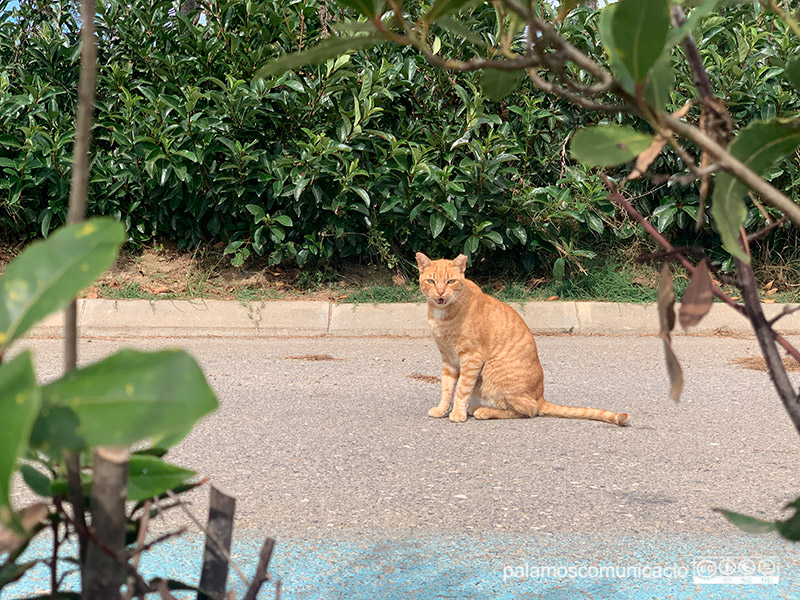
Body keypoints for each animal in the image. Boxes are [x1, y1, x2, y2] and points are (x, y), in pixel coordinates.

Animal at [416, 253, 628, 426]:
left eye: (451, 281)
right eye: (431, 281)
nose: (441, 292)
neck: (442, 315)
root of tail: (540, 396)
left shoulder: (471, 358)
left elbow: (461, 389)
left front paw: (457, 412)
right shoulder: (448, 358)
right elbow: (446, 388)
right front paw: (442, 409)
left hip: (493, 371)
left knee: (527, 410)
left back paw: (482, 411)